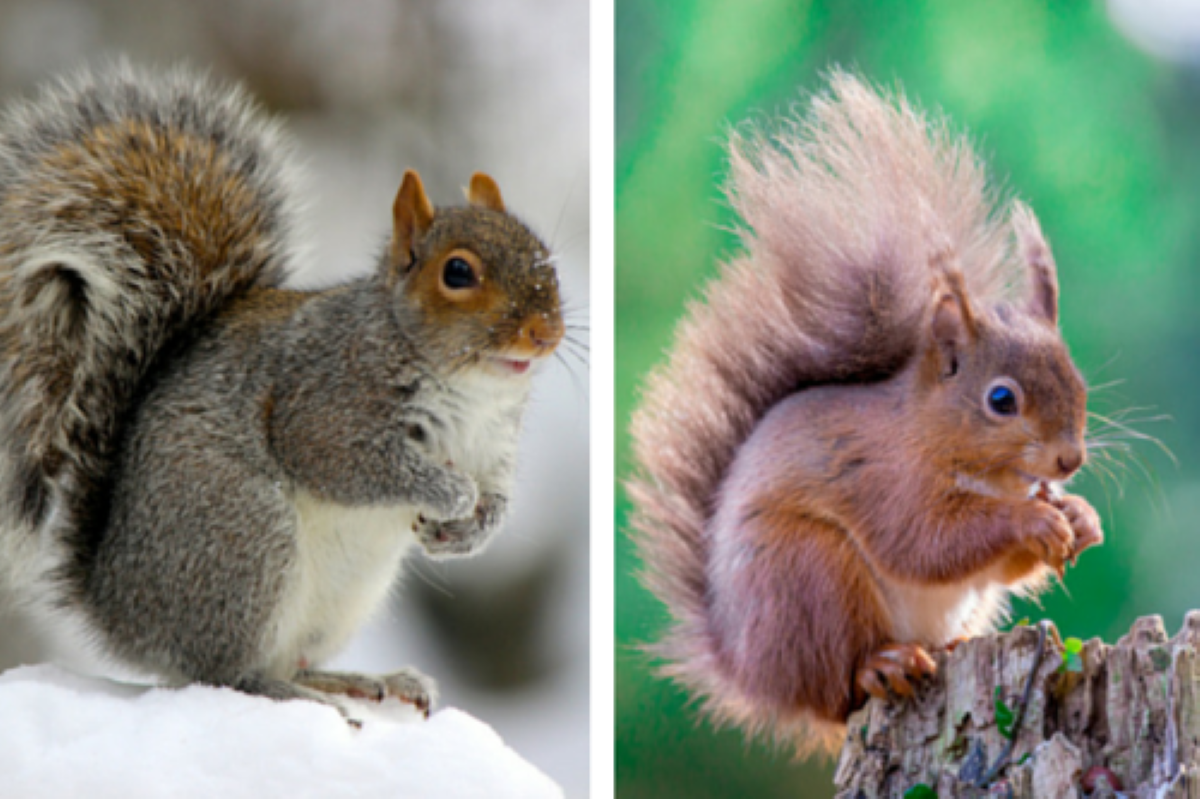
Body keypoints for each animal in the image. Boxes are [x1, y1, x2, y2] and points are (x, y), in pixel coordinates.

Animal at [0, 59, 564, 710]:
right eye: (457, 272)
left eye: (542, 253)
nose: (546, 332)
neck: (469, 386)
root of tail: (121, 612)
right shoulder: (325, 404)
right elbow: (352, 464)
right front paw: (451, 495)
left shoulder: (492, 441)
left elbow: (497, 494)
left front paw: (470, 531)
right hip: (244, 538)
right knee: (221, 671)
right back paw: (296, 691)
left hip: (335, 599)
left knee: (290, 657)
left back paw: (365, 680)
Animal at [628, 71, 1104, 748]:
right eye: (1001, 400)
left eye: (1079, 382)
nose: (1070, 460)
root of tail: (749, 670)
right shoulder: (885, 481)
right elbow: (927, 542)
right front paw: (1034, 521)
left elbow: (998, 567)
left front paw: (1080, 517)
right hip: (809, 577)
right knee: (836, 690)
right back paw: (881, 665)